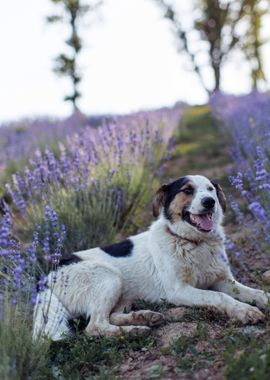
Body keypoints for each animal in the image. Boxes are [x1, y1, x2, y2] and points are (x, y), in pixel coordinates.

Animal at [32, 176, 268, 342]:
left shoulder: (224, 280)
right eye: (187, 190)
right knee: (94, 326)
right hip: (108, 277)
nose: (210, 202)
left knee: (110, 316)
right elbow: (219, 297)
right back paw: (133, 331)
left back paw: (143, 317)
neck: (193, 243)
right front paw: (244, 311)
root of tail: (49, 273)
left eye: (210, 189)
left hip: (122, 293)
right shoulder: (179, 290)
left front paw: (262, 299)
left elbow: (253, 292)